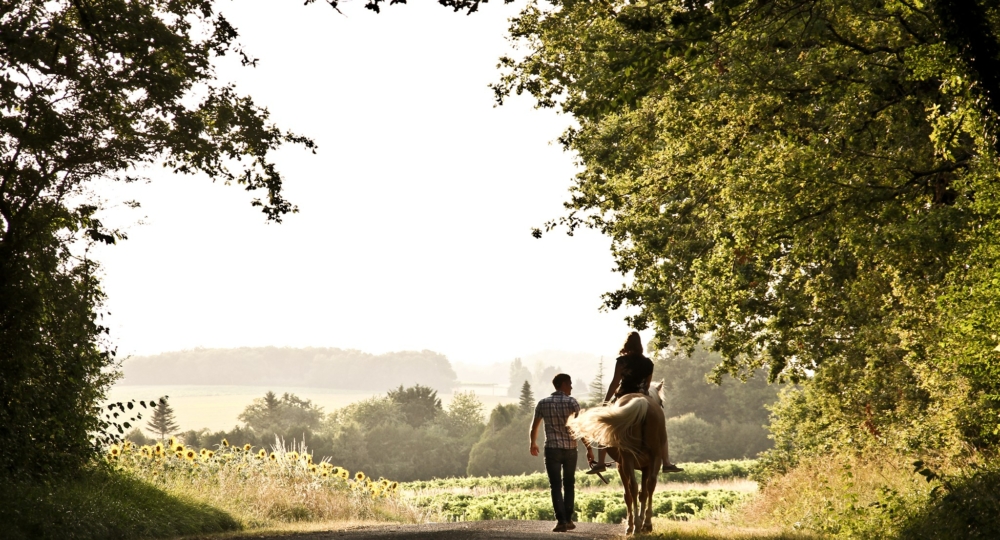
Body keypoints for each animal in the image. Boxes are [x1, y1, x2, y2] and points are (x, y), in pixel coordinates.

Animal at [572, 382, 664, 532]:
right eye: (661, 402)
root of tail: (641, 402)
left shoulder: (621, 466)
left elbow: (628, 495)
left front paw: (631, 524)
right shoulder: (646, 466)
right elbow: (643, 493)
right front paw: (642, 521)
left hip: (628, 460)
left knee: (633, 487)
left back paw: (635, 526)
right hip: (653, 457)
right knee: (650, 484)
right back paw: (646, 524)